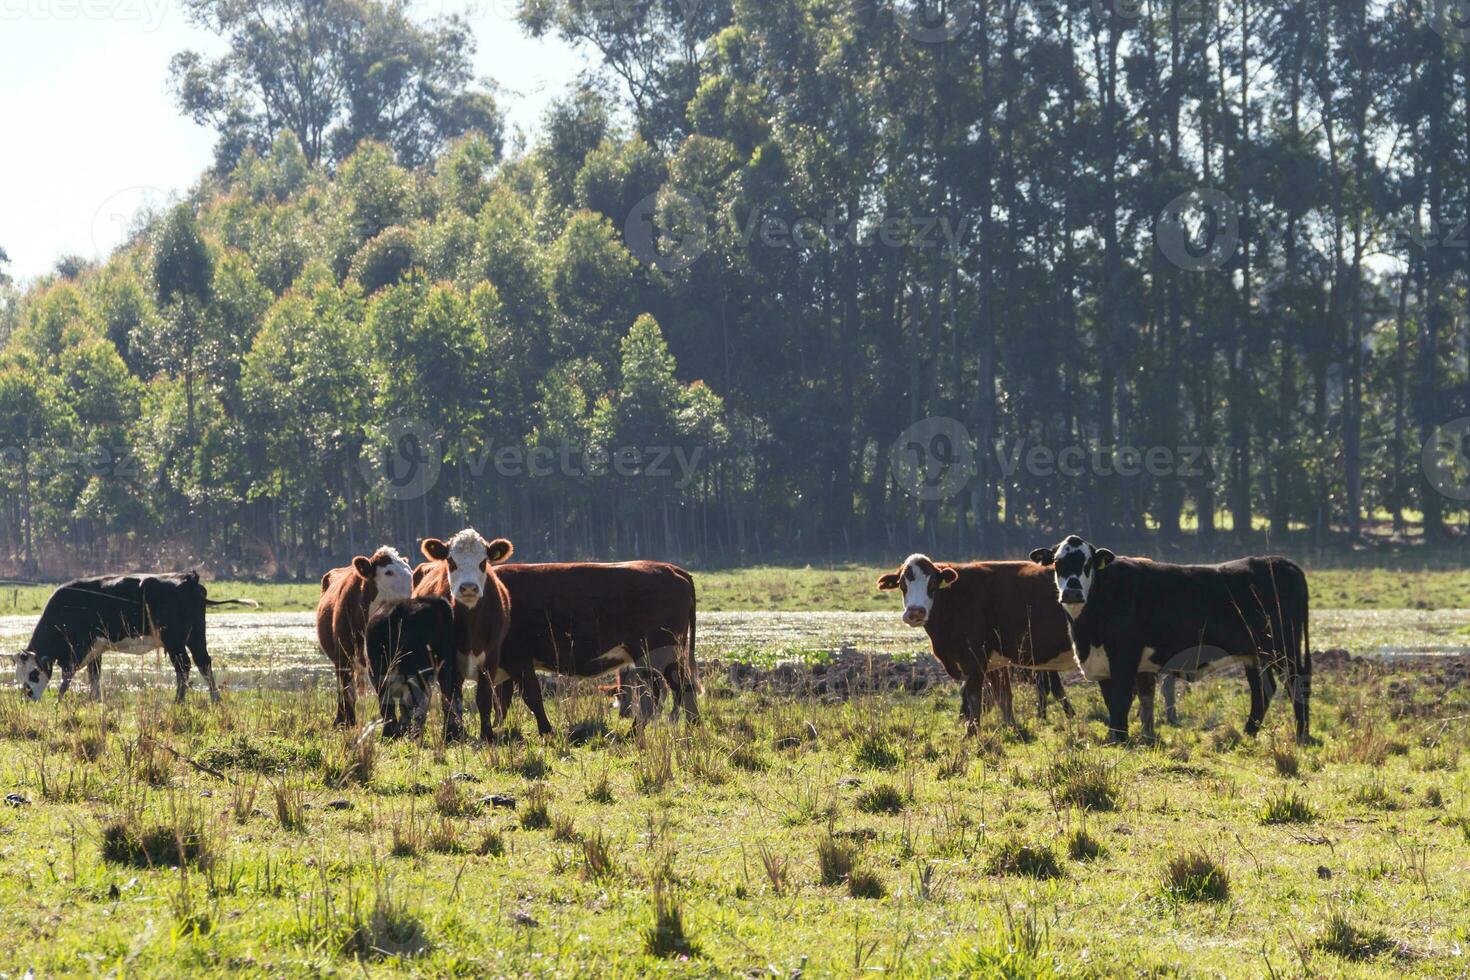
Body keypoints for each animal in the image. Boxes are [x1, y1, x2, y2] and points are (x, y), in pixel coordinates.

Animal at [12, 575, 260, 705]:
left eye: (33, 673)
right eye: (19, 675)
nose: (28, 696)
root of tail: (189, 579)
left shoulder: (79, 648)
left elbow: (67, 676)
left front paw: (59, 700)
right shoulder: (96, 650)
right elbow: (94, 676)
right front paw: (95, 700)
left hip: (175, 640)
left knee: (184, 666)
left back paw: (178, 701)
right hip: (196, 636)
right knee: (203, 663)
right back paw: (214, 699)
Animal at [317, 543, 414, 728]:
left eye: (411, 574)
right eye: (388, 572)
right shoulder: (345, 655)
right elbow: (349, 692)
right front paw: (349, 722)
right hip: (340, 660)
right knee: (343, 687)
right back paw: (340, 719)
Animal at [411, 528, 514, 743]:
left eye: (483, 562)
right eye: (451, 561)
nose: (468, 587)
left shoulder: (491, 657)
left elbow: (484, 698)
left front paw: (487, 734)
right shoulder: (447, 659)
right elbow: (450, 698)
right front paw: (451, 734)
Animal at [1029, 537, 1317, 743]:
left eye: (1087, 564)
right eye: (1057, 563)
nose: (1072, 592)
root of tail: (1281, 562)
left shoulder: (1124, 659)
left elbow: (1121, 701)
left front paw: (1119, 739)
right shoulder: (1102, 662)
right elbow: (1111, 702)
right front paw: (1114, 736)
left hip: (1284, 649)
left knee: (1296, 683)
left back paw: (1301, 735)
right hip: (1255, 654)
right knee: (1263, 691)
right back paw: (1249, 733)